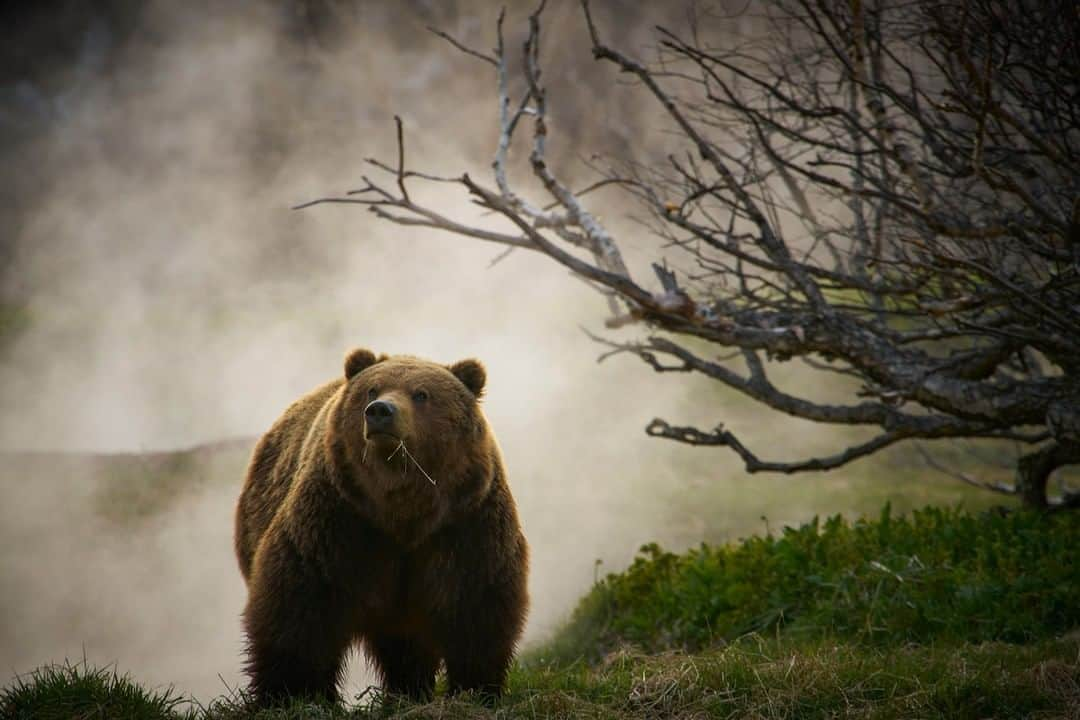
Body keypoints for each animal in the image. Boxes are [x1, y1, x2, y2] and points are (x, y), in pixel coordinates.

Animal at [234, 349, 529, 703]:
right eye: (372, 389)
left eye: (421, 394)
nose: (380, 411)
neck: (403, 512)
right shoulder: (339, 522)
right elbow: (301, 604)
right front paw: (292, 692)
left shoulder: (465, 522)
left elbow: (477, 604)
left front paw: (477, 688)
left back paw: (409, 690)